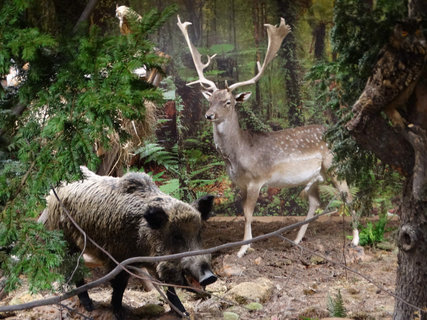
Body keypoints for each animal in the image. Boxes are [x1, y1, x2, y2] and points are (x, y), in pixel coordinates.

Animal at [178, 15, 362, 258]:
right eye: (210, 99)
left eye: (228, 102)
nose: (209, 115)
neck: (238, 155)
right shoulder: (240, 183)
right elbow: (243, 211)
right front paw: (245, 245)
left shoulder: (257, 179)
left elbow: (248, 213)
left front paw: (243, 249)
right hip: (315, 176)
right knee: (315, 202)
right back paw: (296, 240)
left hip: (335, 166)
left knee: (349, 197)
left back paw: (356, 239)